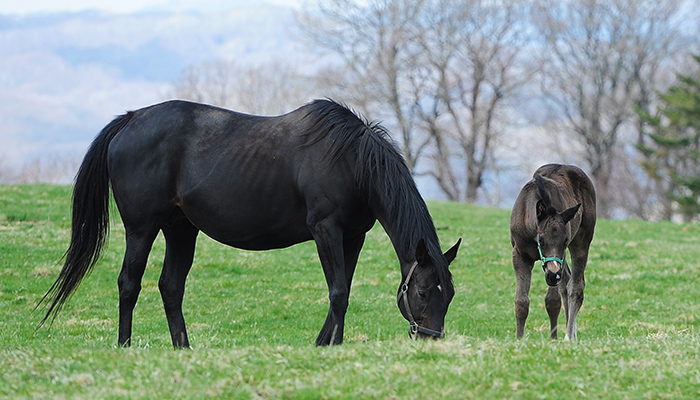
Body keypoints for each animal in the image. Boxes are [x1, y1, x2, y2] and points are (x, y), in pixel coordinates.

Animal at [37, 97, 460, 346]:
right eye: (424, 292)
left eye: (450, 293)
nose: (431, 339)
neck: (351, 161)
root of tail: (130, 120)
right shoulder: (326, 230)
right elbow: (338, 292)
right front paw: (328, 347)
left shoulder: (352, 236)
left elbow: (343, 291)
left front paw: (327, 344)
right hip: (141, 228)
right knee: (129, 283)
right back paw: (124, 346)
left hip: (180, 228)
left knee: (170, 287)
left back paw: (183, 349)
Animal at [508, 164, 596, 342]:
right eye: (541, 239)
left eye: (565, 240)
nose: (553, 275)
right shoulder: (519, 254)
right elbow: (521, 301)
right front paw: (519, 338)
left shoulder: (559, 259)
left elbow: (553, 300)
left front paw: (553, 338)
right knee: (567, 280)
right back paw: (573, 335)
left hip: (582, 241)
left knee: (576, 286)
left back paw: (569, 337)